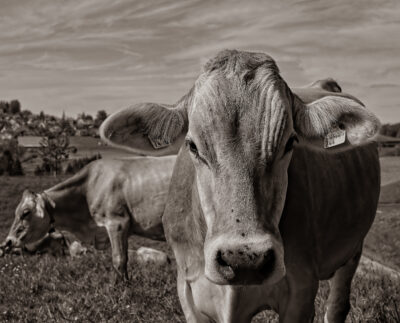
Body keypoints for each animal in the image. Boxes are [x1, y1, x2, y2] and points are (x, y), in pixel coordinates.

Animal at [1, 156, 174, 280]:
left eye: (25, 212)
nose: (7, 242)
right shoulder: (123, 229)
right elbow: (124, 259)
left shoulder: (116, 223)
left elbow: (118, 259)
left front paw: (120, 290)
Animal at [101, 49, 382, 322]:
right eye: (192, 146)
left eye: (290, 142)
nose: (245, 260)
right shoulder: (188, 289)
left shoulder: (301, 291)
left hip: (353, 249)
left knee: (337, 306)